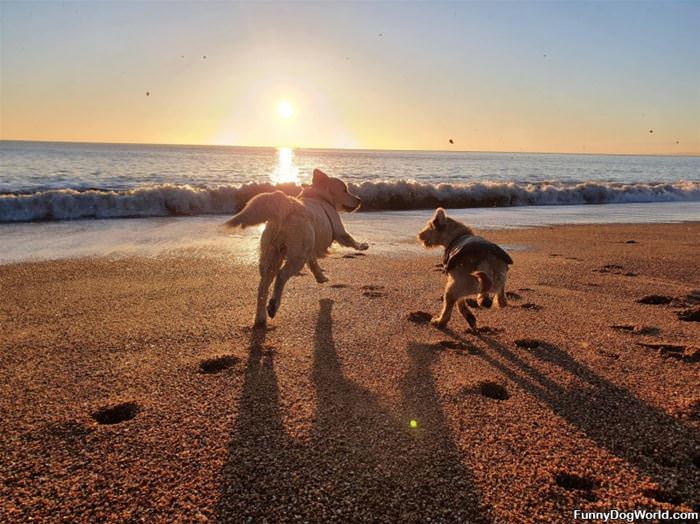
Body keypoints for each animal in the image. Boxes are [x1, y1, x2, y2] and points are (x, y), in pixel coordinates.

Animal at [224, 168, 370, 326]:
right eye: (344, 190)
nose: (359, 200)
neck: (321, 198)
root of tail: (289, 205)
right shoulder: (339, 231)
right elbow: (351, 241)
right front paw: (363, 246)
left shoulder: (310, 248)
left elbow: (313, 263)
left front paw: (321, 277)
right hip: (297, 256)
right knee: (281, 276)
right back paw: (273, 305)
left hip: (270, 255)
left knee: (263, 286)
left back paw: (260, 318)